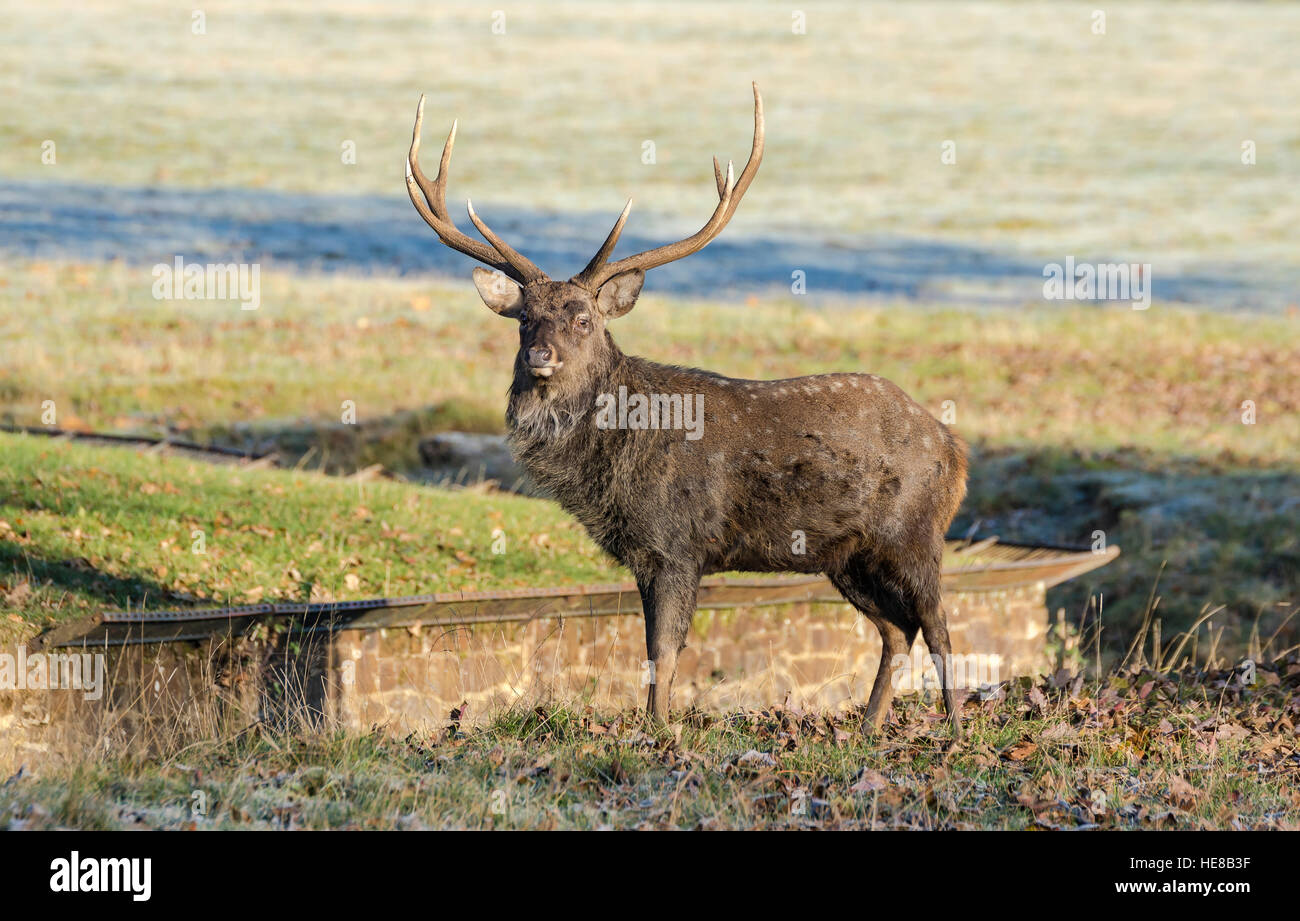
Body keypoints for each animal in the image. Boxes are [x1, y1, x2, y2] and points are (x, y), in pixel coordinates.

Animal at [405, 84, 969, 736]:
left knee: (939, 626)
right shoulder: (646, 556)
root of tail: (954, 446)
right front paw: (655, 724)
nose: (541, 355)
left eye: (583, 319)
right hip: (847, 555)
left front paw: (657, 731)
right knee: (896, 629)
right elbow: (652, 649)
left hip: (916, 531)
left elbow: (664, 651)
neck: (612, 470)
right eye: (524, 319)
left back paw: (955, 729)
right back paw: (867, 729)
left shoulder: (678, 543)